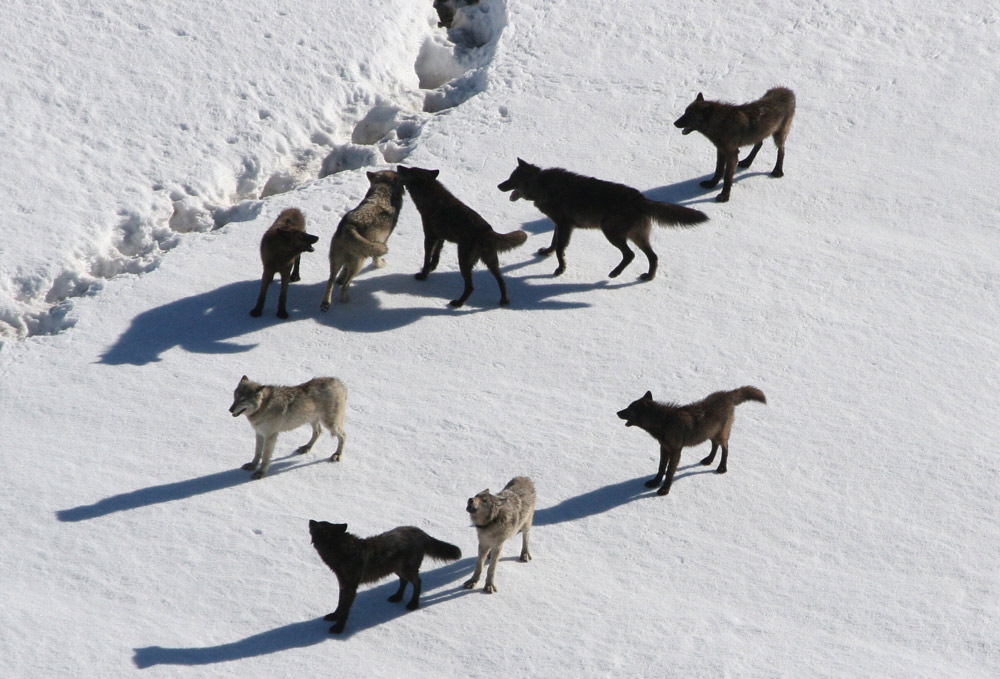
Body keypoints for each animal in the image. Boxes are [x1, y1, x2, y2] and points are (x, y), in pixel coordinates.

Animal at [309, 520, 461, 634]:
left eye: (319, 525)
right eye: (321, 522)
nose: (310, 520)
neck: (342, 551)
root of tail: (421, 532)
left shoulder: (350, 587)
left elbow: (345, 609)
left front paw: (338, 628)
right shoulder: (343, 585)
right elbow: (339, 605)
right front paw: (333, 616)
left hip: (406, 569)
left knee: (418, 582)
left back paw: (413, 604)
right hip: (397, 569)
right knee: (404, 581)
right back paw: (397, 597)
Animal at [321, 170, 405, 310]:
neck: (383, 192)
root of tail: (349, 226)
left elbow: (343, 272)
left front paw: (340, 279)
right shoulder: (384, 240)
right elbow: (376, 259)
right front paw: (380, 265)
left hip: (335, 261)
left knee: (330, 281)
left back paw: (326, 303)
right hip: (359, 264)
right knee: (346, 285)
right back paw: (345, 301)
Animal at [397, 165, 527, 307]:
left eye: (409, 170)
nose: (398, 166)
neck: (430, 198)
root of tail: (488, 231)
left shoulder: (430, 236)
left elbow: (427, 258)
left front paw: (423, 275)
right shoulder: (441, 238)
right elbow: (436, 256)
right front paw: (433, 268)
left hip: (464, 261)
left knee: (471, 287)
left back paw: (458, 303)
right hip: (491, 262)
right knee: (501, 281)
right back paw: (504, 301)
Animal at [497, 159, 708, 279]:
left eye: (512, 179)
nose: (499, 186)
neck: (541, 185)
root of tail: (641, 198)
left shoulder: (565, 225)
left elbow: (560, 249)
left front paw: (560, 269)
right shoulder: (559, 225)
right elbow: (554, 243)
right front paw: (546, 253)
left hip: (611, 232)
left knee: (630, 255)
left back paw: (615, 273)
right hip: (637, 236)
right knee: (653, 257)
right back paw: (648, 277)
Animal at [617, 386, 766, 496]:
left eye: (629, 409)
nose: (617, 412)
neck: (664, 422)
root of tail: (728, 394)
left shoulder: (676, 450)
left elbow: (670, 471)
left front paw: (664, 490)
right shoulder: (663, 447)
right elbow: (661, 468)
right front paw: (654, 483)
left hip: (720, 435)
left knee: (726, 448)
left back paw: (722, 468)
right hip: (710, 434)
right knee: (715, 446)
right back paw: (708, 460)